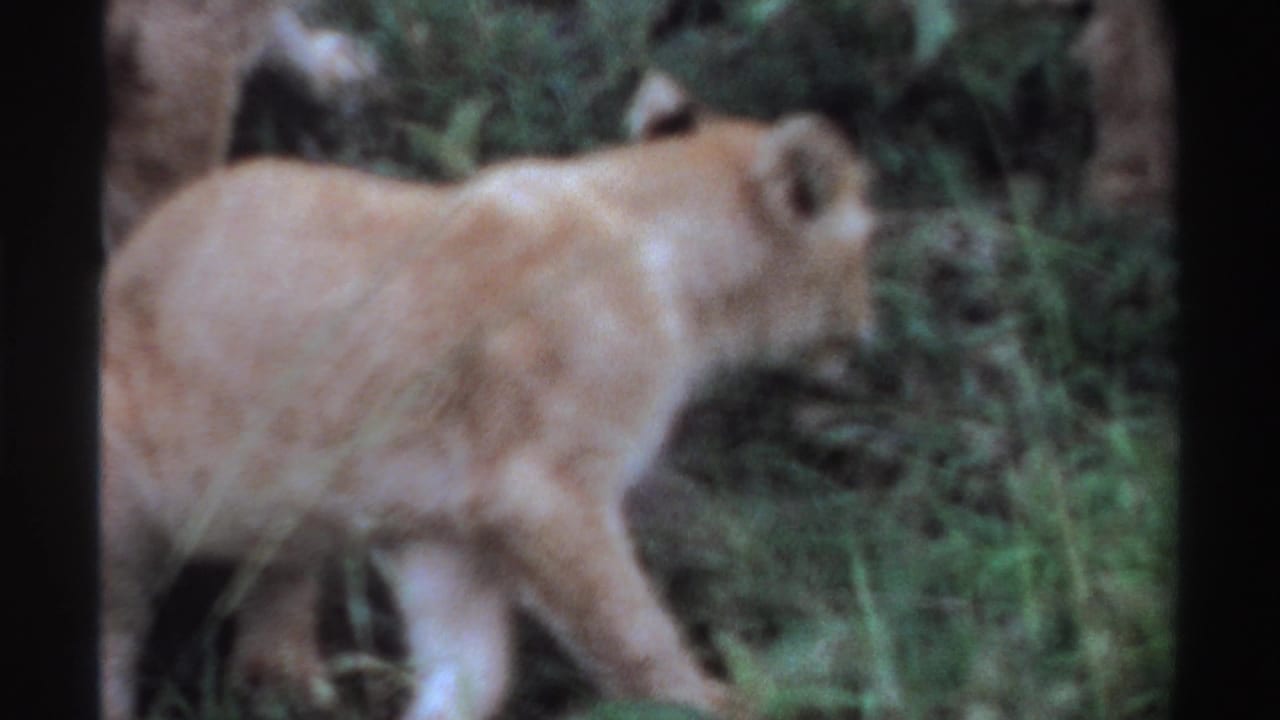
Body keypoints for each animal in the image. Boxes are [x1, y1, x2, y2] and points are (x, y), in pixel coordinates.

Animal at [101, 71, 877, 720]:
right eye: (869, 238)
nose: (873, 329)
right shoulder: (546, 493)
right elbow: (634, 633)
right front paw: (722, 703)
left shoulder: (447, 527)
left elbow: (472, 666)